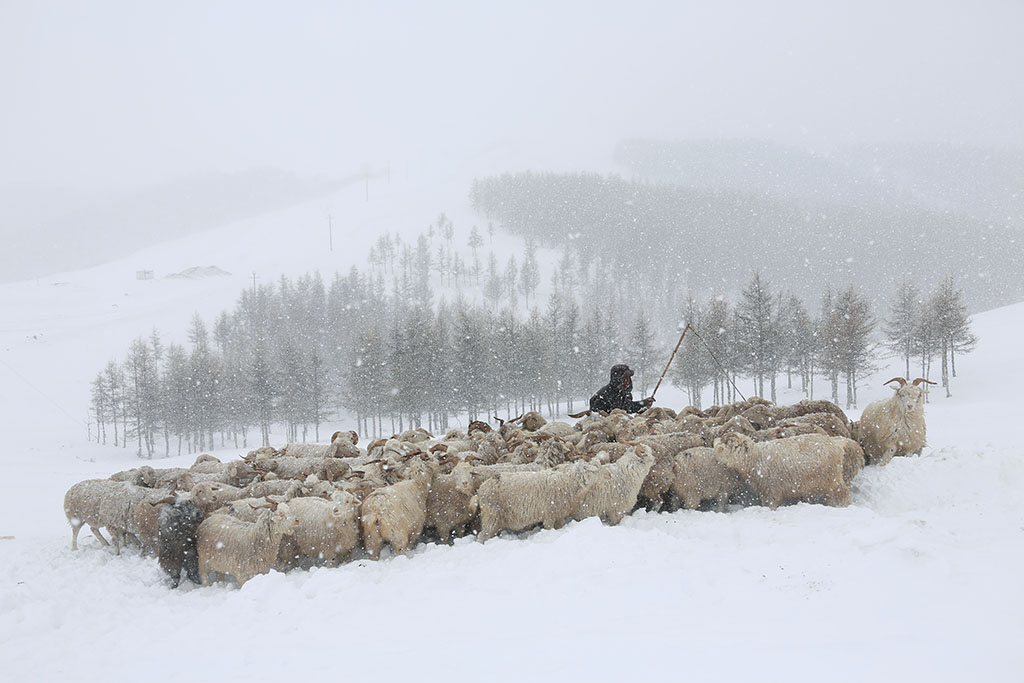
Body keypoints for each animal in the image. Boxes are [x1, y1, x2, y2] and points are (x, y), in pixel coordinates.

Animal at [712, 430, 847, 509]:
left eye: (729, 444)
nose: (715, 444)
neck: (755, 458)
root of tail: (836, 443)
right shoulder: (765, 491)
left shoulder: (773, 489)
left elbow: (771, 505)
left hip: (834, 479)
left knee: (844, 492)